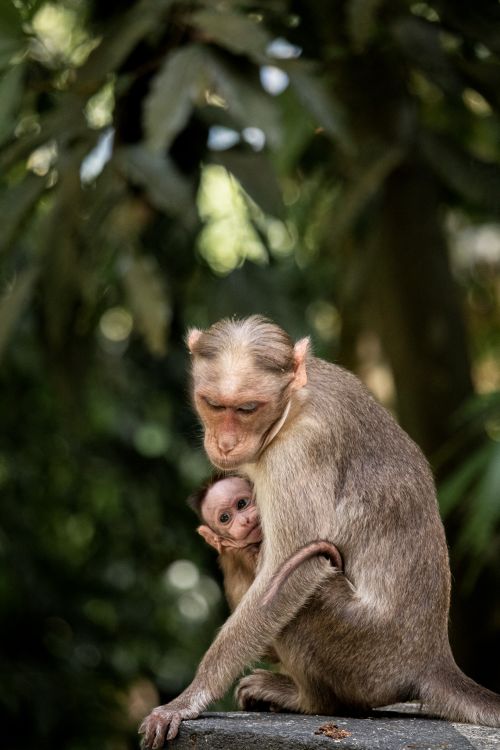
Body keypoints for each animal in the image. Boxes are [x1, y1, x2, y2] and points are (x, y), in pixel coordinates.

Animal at [140, 315, 500, 748]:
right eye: (212, 404)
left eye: (246, 408)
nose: (224, 443)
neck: (292, 406)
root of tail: (432, 659)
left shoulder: (299, 450)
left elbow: (289, 572)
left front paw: (188, 698)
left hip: (364, 657)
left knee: (302, 580)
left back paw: (304, 699)